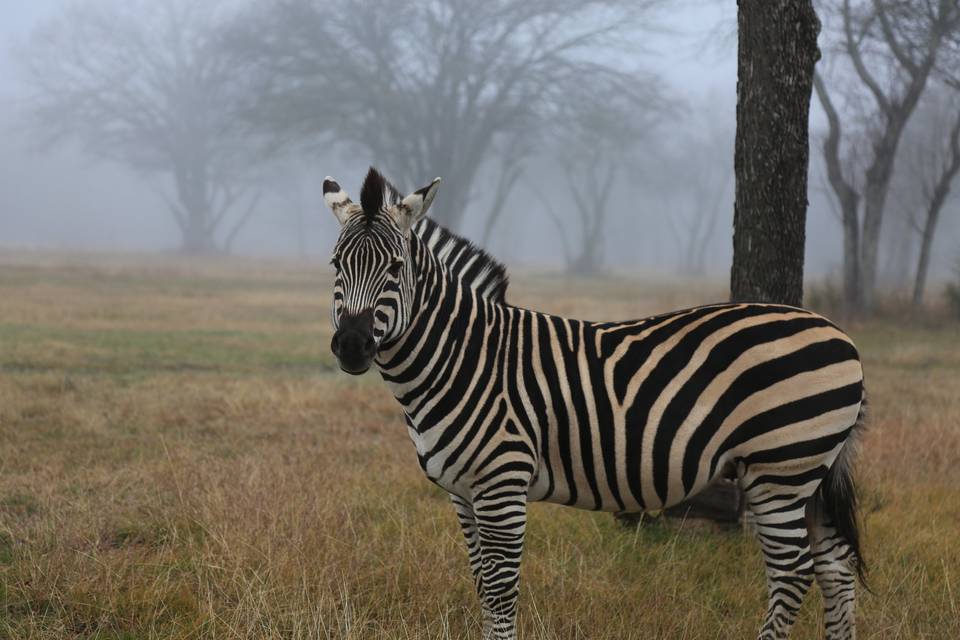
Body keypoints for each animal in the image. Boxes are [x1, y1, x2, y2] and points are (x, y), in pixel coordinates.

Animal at [323, 167, 866, 640]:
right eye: (335, 266)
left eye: (396, 269)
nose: (351, 345)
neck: (464, 358)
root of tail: (838, 333)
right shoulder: (463, 492)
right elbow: (480, 583)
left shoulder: (502, 485)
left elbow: (500, 592)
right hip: (808, 475)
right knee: (835, 571)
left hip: (780, 469)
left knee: (794, 572)